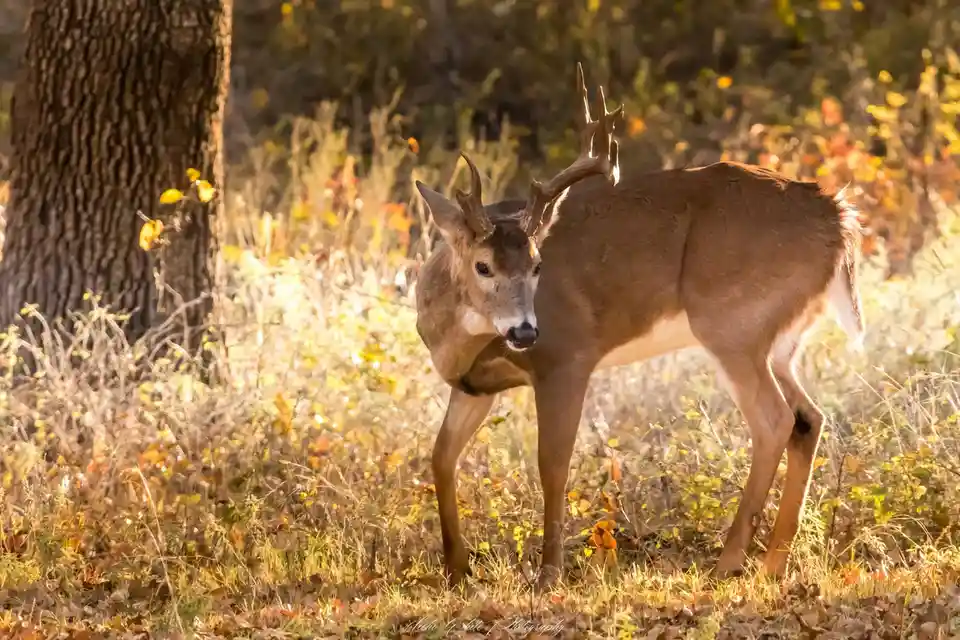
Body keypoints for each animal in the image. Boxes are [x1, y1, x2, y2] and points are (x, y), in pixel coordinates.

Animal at [412, 63, 865, 591]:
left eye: (539, 264)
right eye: (482, 265)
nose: (525, 332)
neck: (459, 338)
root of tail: (839, 217)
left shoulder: (567, 359)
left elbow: (552, 464)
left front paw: (548, 573)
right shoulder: (473, 386)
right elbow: (441, 456)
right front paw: (456, 568)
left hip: (733, 325)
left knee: (775, 420)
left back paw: (729, 561)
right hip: (779, 339)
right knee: (809, 418)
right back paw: (773, 564)